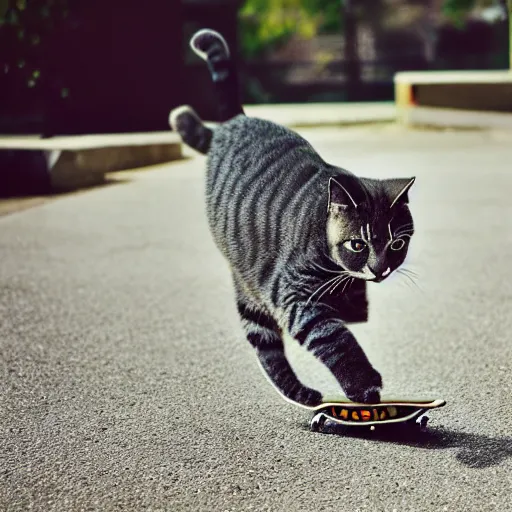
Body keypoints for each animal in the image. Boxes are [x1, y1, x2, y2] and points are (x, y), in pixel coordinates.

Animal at [170, 29, 414, 408]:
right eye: (358, 244)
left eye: (397, 244)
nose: (380, 269)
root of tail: (236, 121)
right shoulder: (294, 296)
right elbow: (336, 340)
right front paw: (363, 384)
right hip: (253, 287)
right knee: (267, 346)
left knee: (264, 344)